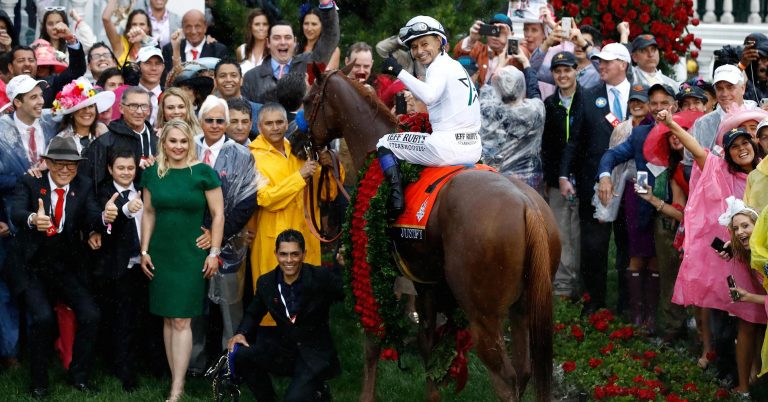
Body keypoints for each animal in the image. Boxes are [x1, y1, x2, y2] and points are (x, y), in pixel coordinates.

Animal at [304, 70, 560, 402]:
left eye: (307, 100)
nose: (297, 139)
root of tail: (527, 206)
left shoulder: (373, 267)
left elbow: (372, 342)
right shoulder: (427, 283)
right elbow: (428, 346)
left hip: (484, 317)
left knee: (506, 380)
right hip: (523, 307)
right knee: (525, 370)